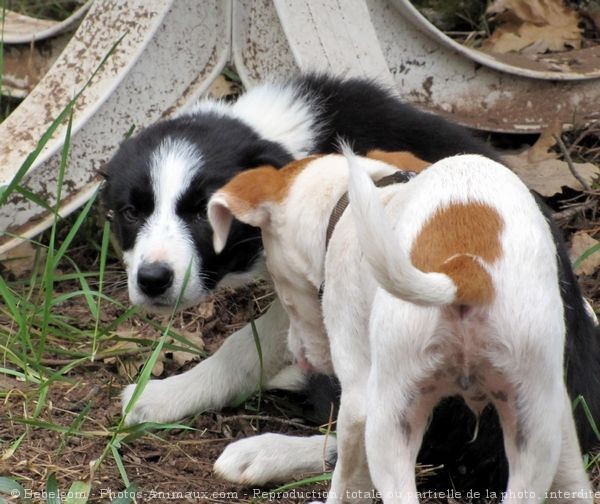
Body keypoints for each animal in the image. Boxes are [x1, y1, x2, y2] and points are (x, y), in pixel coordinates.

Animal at [207, 151, 592, 504]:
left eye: (282, 292)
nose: (299, 358)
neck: (347, 201)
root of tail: (468, 269)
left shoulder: (357, 395)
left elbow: (347, 476)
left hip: (391, 417)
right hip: (537, 416)